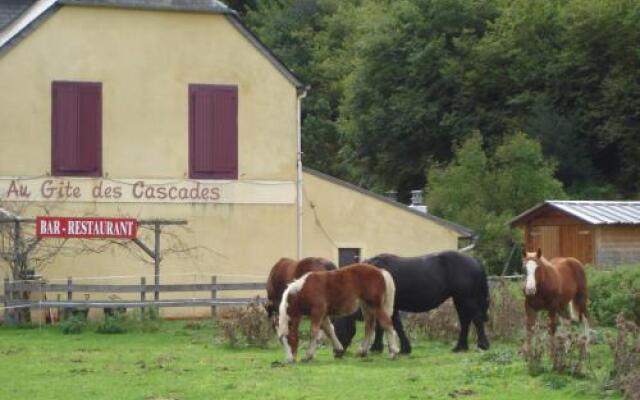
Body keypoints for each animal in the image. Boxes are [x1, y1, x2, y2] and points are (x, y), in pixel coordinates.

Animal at [332, 252, 488, 354]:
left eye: (337, 328)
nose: (336, 353)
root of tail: (476, 261)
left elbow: (392, 326)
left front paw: (399, 348)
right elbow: (384, 326)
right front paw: (380, 347)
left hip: (467, 299)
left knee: (477, 319)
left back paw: (482, 345)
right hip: (459, 299)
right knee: (465, 321)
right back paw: (460, 347)